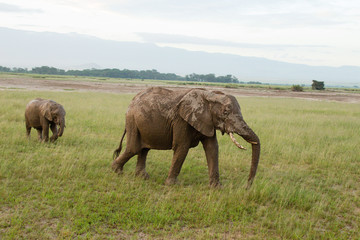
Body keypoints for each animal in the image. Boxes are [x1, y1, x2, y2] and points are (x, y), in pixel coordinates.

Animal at [111, 87, 260, 188]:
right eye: (225, 112)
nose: (247, 186)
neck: (209, 94)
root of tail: (132, 101)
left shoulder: (207, 121)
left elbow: (212, 148)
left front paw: (216, 188)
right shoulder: (180, 120)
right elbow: (182, 147)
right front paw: (172, 185)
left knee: (144, 149)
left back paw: (142, 177)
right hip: (132, 120)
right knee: (134, 148)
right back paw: (116, 172)